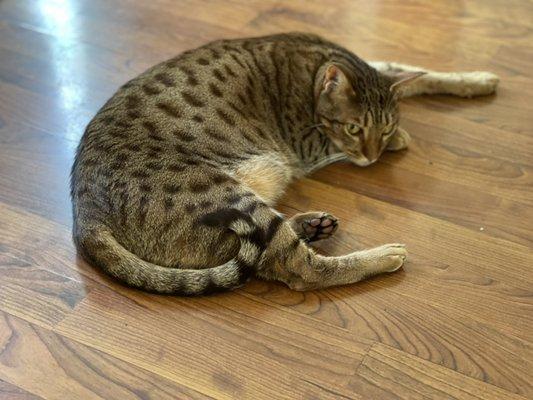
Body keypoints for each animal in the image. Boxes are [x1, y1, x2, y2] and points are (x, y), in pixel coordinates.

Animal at [70, 32, 498, 294]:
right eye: (354, 128)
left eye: (385, 123)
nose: (374, 153)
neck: (314, 68)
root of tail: (84, 216)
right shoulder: (308, 143)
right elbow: (344, 136)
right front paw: (399, 140)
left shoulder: (377, 69)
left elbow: (410, 71)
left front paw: (475, 79)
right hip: (226, 196)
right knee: (298, 269)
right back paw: (382, 255)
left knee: (267, 252)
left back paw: (314, 224)